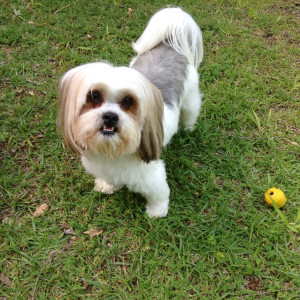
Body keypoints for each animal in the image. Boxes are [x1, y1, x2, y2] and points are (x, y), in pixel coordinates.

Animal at [57, 7, 203, 218]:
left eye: (128, 101)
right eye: (94, 96)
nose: (110, 116)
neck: (112, 151)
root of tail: (168, 44)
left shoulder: (152, 174)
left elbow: (159, 194)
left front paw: (157, 212)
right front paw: (107, 186)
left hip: (191, 96)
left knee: (191, 112)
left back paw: (188, 128)